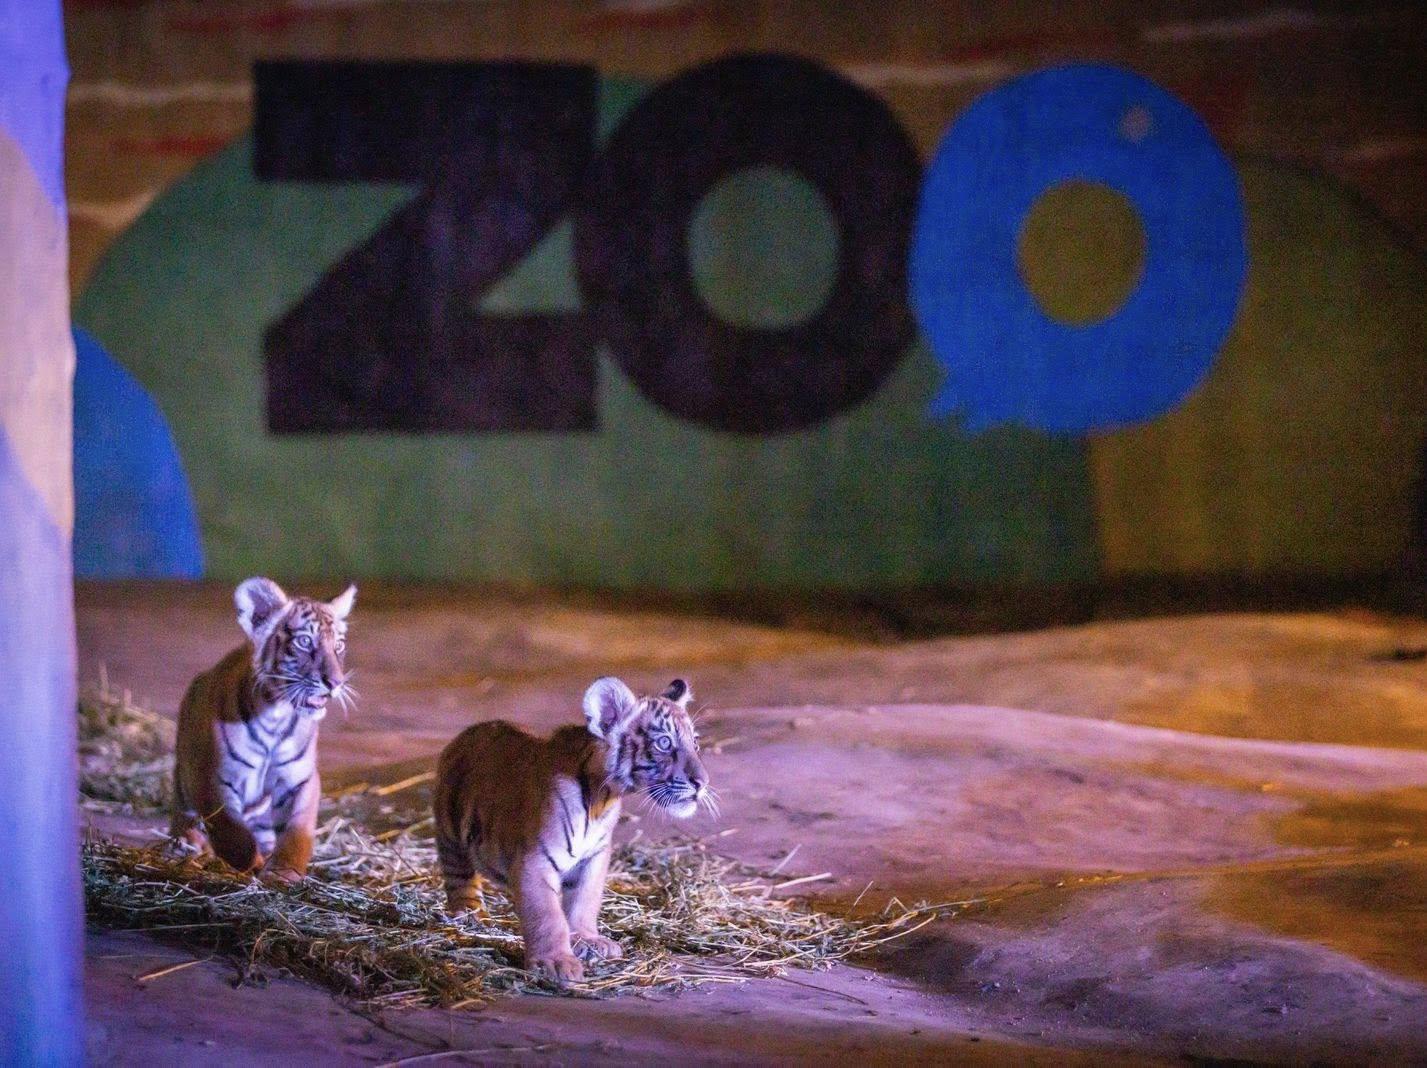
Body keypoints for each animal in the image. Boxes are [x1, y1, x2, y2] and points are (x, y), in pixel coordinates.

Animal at [170, 577, 356, 882]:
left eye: (339, 645)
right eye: (304, 641)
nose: (335, 682)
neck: (275, 716)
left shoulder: (300, 780)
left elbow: (297, 832)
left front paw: (283, 872)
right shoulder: (212, 778)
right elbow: (232, 832)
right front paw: (250, 863)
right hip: (185, 776)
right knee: (184, 814)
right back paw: (187, 844)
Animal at [433, 676, 713, 985]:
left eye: (695, 742)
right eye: (664, 742)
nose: (702, 782)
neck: (604, 798)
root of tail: (465, 734)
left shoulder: (595, 857)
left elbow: (584, 900)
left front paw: (588, 940)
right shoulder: (534, 860)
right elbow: (547, 916)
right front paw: (555, 963)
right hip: (450, 831)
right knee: (459, 876)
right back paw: (469, 913)